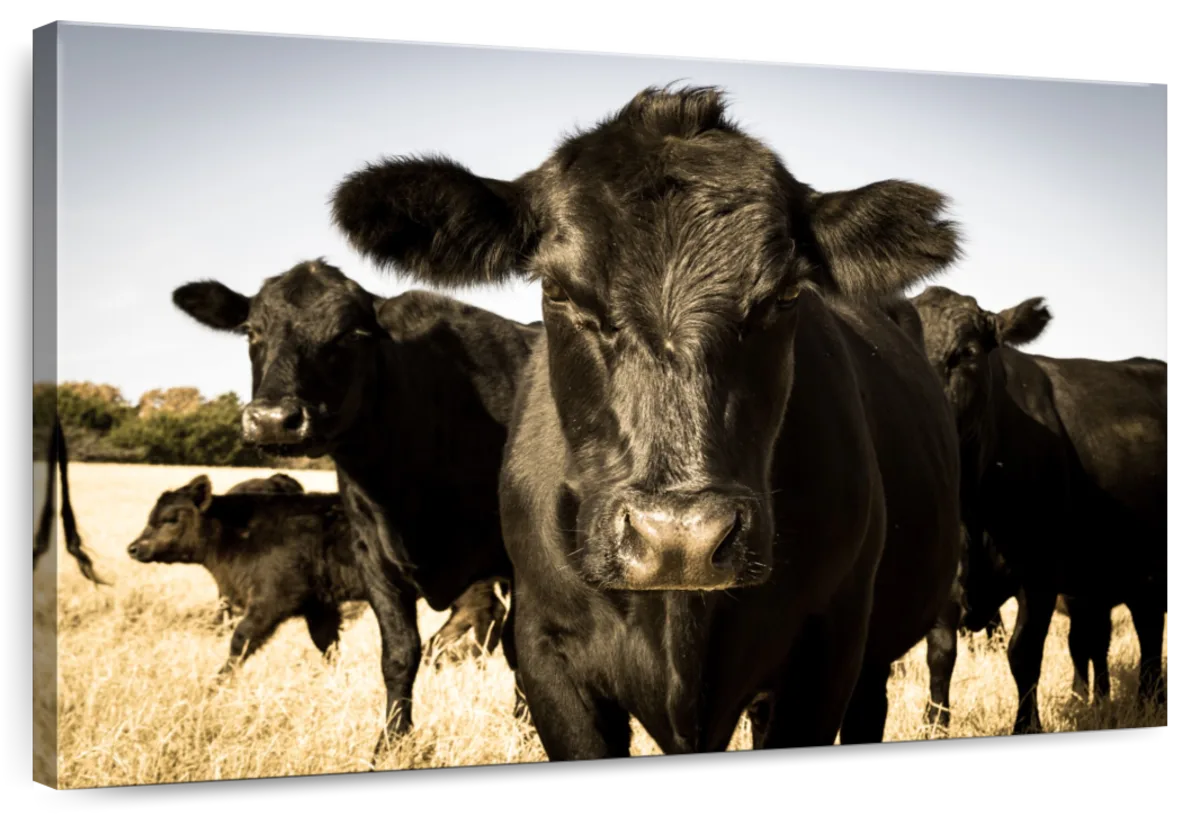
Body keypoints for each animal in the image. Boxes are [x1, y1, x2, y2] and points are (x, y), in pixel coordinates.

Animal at [127, 474, 367, 672]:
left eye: (170, 519)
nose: (133, 548)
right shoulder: (318, 605)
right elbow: (327, 644)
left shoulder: (271, 599)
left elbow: (240, 640)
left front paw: (217, 683)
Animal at [170, 261, 541, 758]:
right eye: (251, 330)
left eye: (351, 334)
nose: (273, 420)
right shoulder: (374, 557)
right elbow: (400, 654)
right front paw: (390, 742)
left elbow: (522, 652)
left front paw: (529, 733)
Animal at [910, 284, 1168, 734]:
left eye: (966, 353)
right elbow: (940, 654)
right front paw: (933, 725)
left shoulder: (1041, 573)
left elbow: (1024, 652)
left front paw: (1027, 725)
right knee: (1148, 628)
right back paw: (1149, 702)